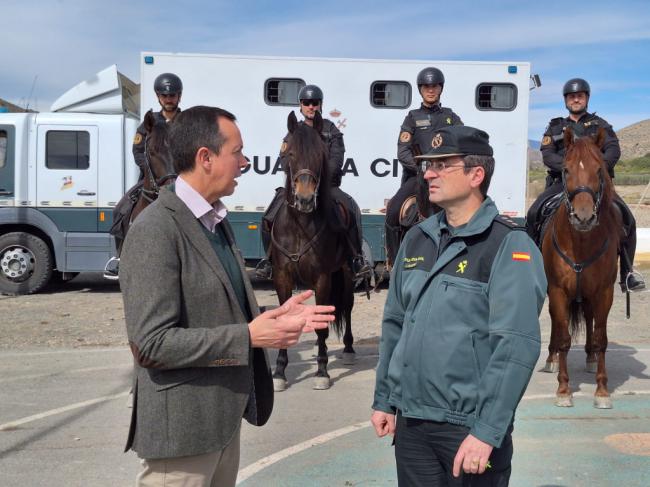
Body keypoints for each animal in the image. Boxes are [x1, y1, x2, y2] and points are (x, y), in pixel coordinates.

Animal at [270, 111, 354, 392]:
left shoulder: (323, 278)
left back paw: (348, 349)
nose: (305, 199)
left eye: (320, 154)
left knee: (347, 308)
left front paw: (322, 372)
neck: (300, 225)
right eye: (289, 152)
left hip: (347, 274)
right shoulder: (282, 277)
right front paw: (279, 373)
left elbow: (322, 328)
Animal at [536, 127, 616, 410]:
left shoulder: (604, 292)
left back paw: (591, 359)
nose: (583, 217)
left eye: (599, 170)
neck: (580, 242)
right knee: (556, 324)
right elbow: (563, 338)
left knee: (590, 319)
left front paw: (602, 391)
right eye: (566, 169)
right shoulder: (558, 290)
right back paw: (550, 359)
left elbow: (602, 339)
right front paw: (563, 390)